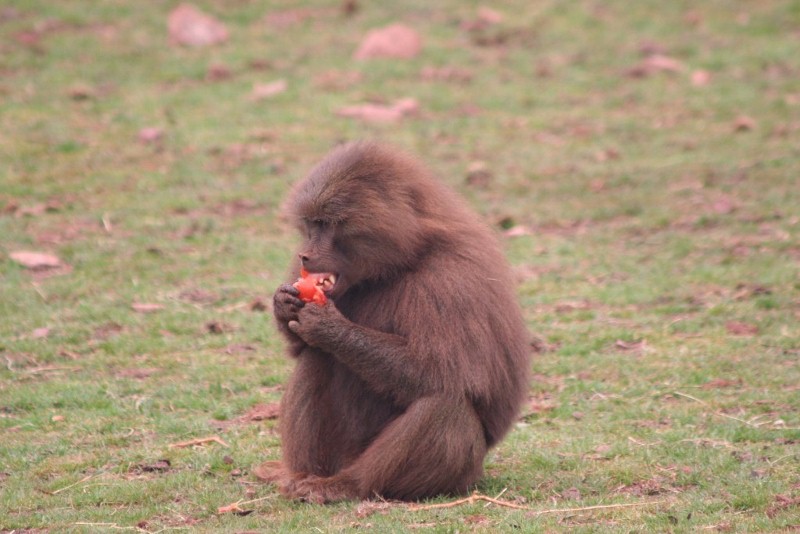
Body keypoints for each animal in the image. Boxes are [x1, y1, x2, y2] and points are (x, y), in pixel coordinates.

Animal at [254, 141, 530, 503]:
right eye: (312, 224)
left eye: (330, 224)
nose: (306, 256)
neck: (403, 260)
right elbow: (300, 348)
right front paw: (284, 304)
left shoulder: (450, 279)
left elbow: (443, 373)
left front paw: (328, 327)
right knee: (314, 359)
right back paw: (303, 478)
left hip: (460, 472)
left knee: (445, 407)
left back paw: (346, 486)